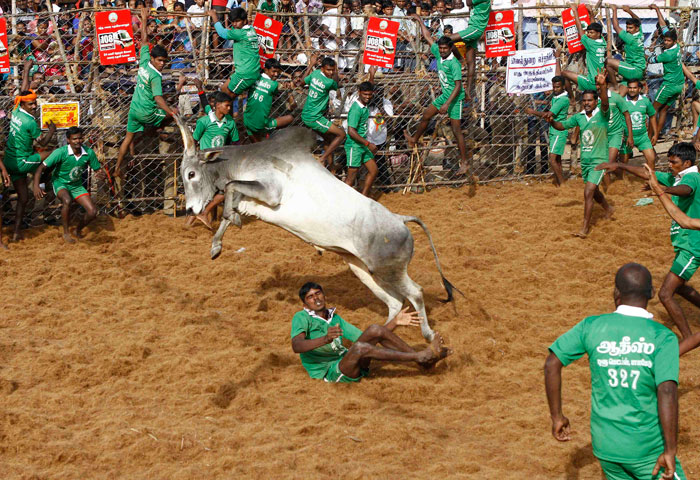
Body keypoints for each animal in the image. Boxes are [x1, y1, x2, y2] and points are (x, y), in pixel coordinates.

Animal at [175, 116, 460, 342]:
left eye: (191, 174)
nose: (189, 209)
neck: (243, 159)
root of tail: (400, 220)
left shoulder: (270, 192)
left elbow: (231, 187)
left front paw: (227, 220)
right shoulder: (252, 203)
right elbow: (230, 201)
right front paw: (217, 244)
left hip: (388, 270)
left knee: (416, 293)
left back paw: (427, 334)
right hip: (362, 269)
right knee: (395, 303)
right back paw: (381, 333)